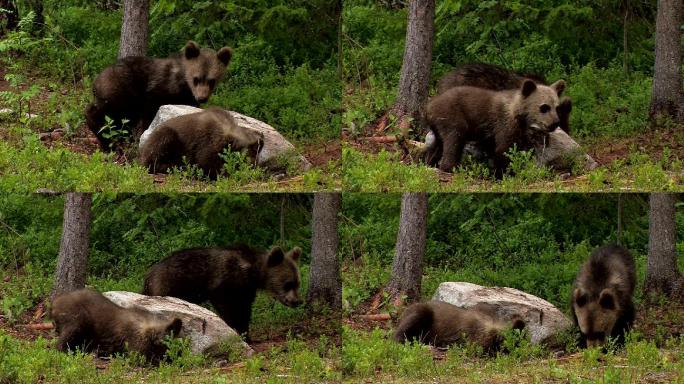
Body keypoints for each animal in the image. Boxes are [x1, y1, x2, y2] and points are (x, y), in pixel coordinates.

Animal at [50, 288, 183, 364]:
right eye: (164, 335)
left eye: (171, 335)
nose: (161, 341)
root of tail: (54, 303)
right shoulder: (135, 342)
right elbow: (140, 355)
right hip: (76, 319)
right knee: (66, 337)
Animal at [85, 40, 232, 151]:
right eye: (196, 78)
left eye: (212, 80)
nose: (202, 98)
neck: (182, 82)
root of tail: (96, 80)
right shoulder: (156, 91)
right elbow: (150, 113)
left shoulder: (187, 98)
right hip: (120, 92)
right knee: (104, 113)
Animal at [143, 246, 300, 340]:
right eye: (288, 284)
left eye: (298, 283)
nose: (297, 301)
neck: (253, 273)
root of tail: (149, 274)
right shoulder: (223, 282)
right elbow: (228, 307)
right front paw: (235, 329)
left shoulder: (246, 290)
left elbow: (245, 310)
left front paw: (246, 335)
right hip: (167, 285)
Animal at [428, 77, 568, 176]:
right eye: (544, 107)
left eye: (556, 107)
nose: (555, 123)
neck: (518, 115)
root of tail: (429, 106)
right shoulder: (504, 123)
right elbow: (503, 149)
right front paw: (504, 173)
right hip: (452, 116)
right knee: (454, 140)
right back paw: (451, 167)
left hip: (438, 126)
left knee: (438, 144)